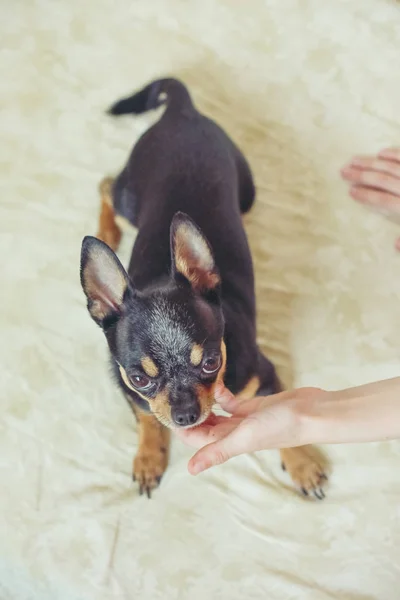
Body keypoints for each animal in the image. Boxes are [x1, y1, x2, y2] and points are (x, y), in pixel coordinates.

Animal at [79, 78, 326, 496]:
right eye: (140, 378)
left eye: (211, 362)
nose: (184, 414)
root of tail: (183, 111)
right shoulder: (129, 392)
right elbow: (147, 417)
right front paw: (149, 456)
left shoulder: (265, 381)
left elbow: (282, 426)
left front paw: (303, 464)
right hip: (131, 201)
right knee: (106, 186)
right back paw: (107, 231)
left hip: (245, 191)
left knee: (107, 185)